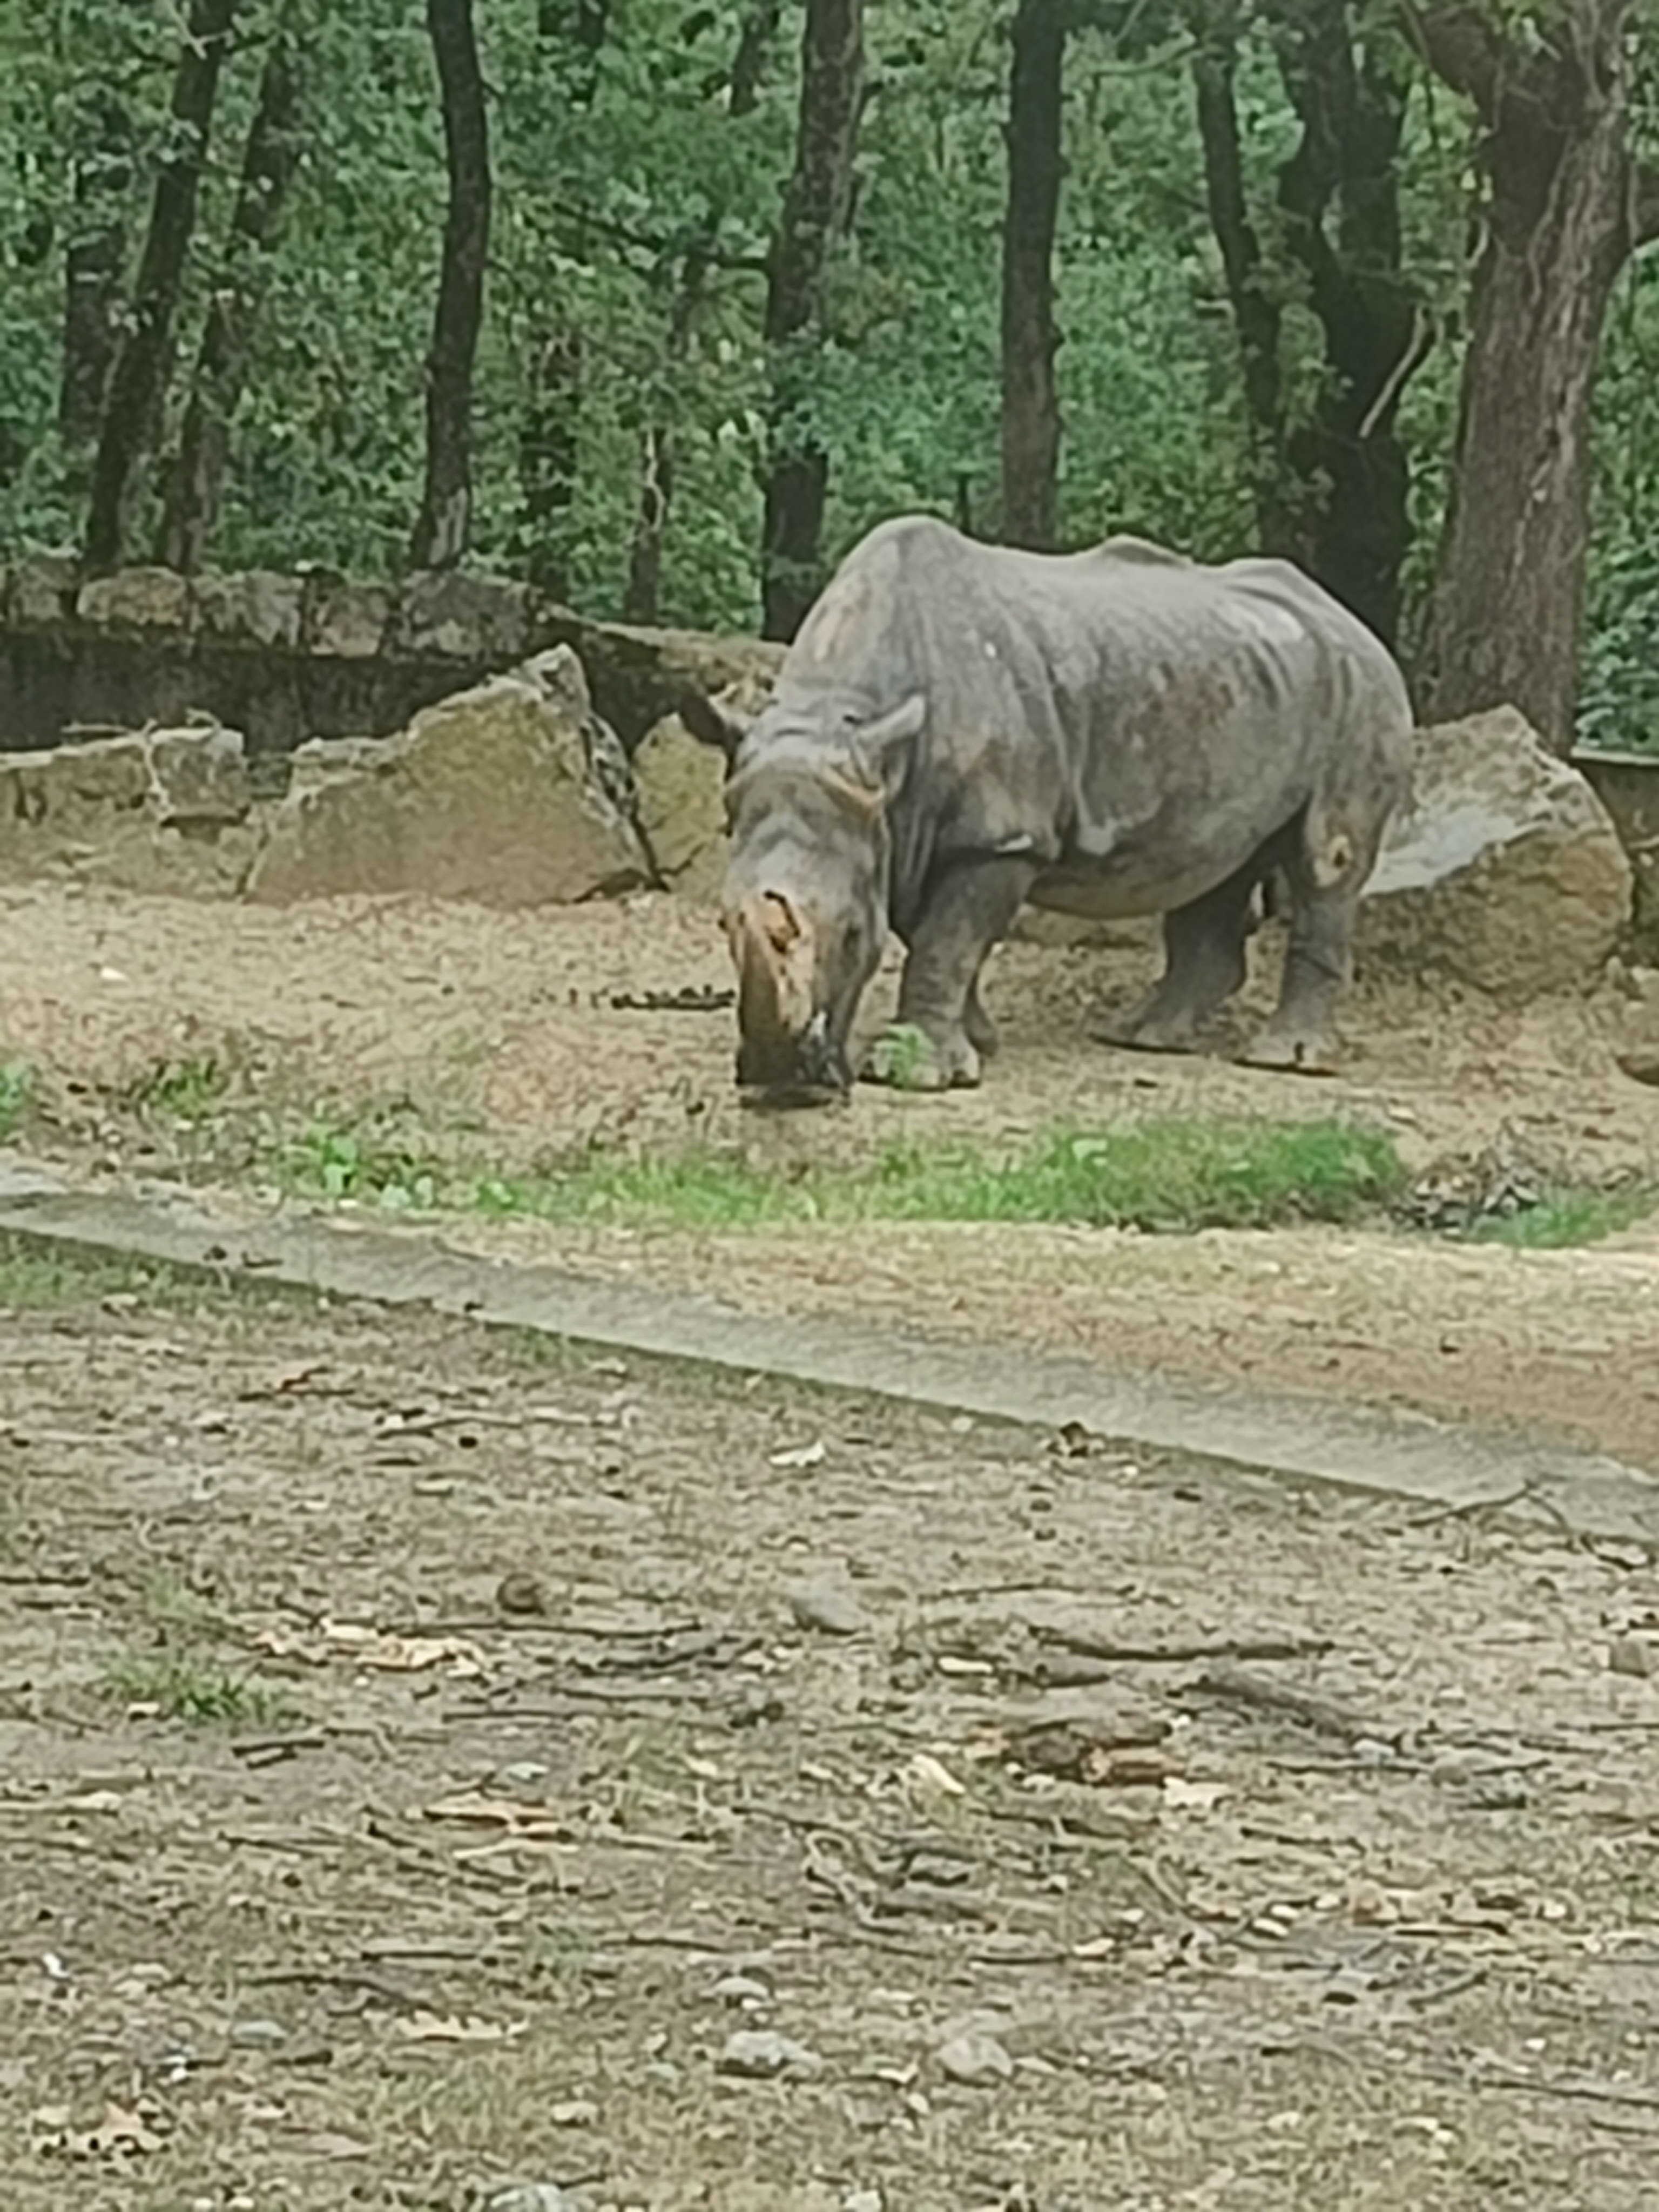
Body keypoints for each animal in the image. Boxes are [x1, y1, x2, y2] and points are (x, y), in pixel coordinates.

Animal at [682, 515, 1413, 1102]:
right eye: (722, 924)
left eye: (855, 936)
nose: (782, 1084)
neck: (842, 716)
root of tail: (1351, 618)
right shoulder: (899, 822)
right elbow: (936, 934)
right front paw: (979, 1040)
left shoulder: (1000, 836)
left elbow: (948, 939)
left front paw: (916, 1074)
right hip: (1242, 686)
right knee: (1219, 858)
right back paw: (1143, 1037)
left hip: (1360, 686)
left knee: (1326, 861)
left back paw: (1282, 1060)